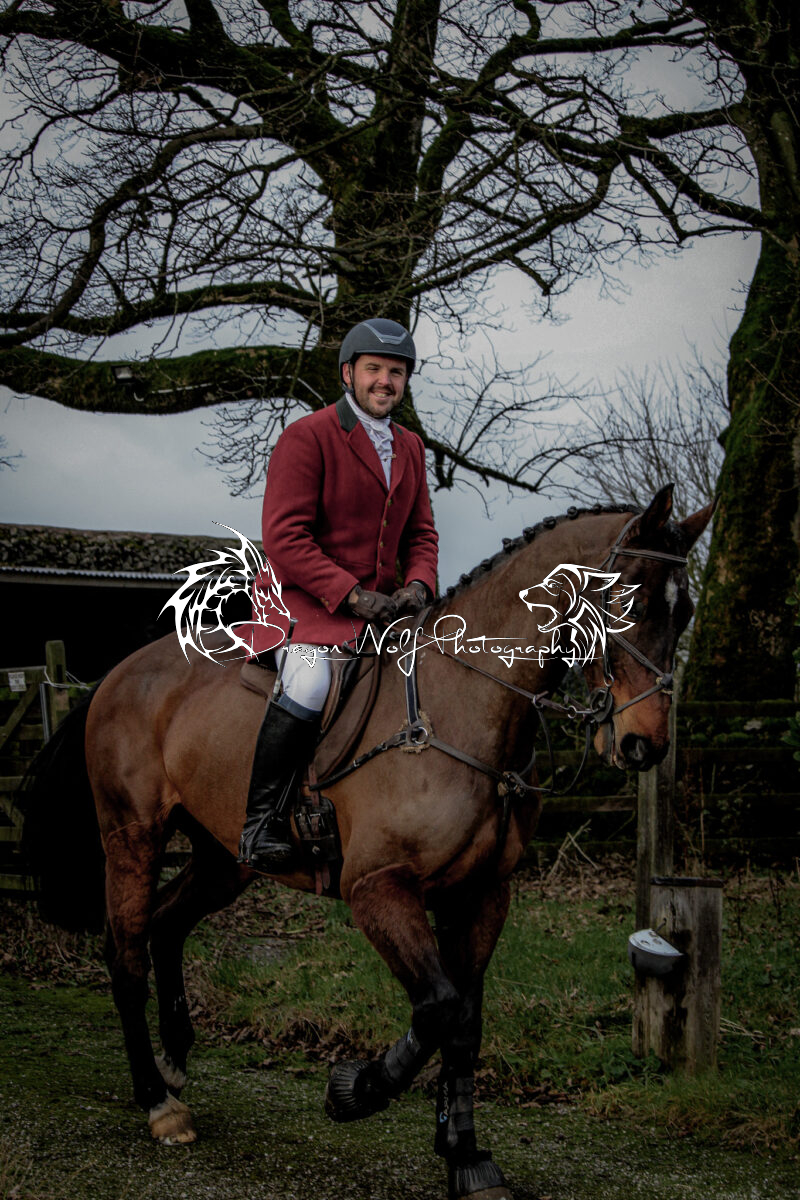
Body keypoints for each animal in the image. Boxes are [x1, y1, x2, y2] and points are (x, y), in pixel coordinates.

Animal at [22, 485, 711, 1200]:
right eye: (629, 601)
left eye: (685, 611)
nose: (644, 744)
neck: (464, 704)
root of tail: (116, 675)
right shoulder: (377, 888)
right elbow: (439, 1008)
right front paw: (354, 1091)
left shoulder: (481, 895)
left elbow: (464, 1023)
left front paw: (465, 1155)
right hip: (133, 836)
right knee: (125, 952)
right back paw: (159, 1102)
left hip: (222, 859)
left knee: (165, 927)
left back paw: (176, 1063)